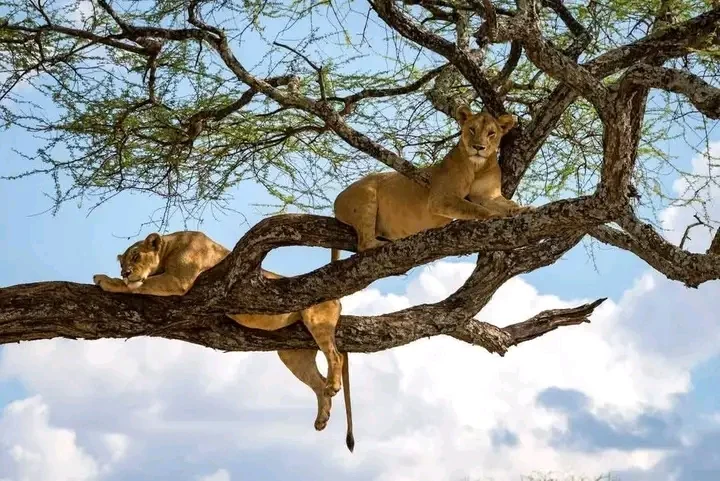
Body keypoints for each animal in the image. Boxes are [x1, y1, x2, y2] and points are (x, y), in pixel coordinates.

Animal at [93, 230, 355, 451]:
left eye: (136, 256)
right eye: (122, 262)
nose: (125, 272)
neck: (169, 247)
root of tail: (338, 299)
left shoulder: (178, 280)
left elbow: (139, 285)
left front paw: (107, 281)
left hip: (317, 320)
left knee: (335, 356)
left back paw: (333, 386)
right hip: (293, 354)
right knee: (318, 382)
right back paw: (322, 417)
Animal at [332, 105, 530, 253]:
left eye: (491, 133)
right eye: (472, 129)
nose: (478, 147)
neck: (477, 166)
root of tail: (337, 199)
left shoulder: (488, 195)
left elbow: (508, 204)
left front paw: (524, 209)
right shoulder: (441, 198)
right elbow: (474, 207)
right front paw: (494, 216)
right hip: (366, 197)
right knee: (364, 244)